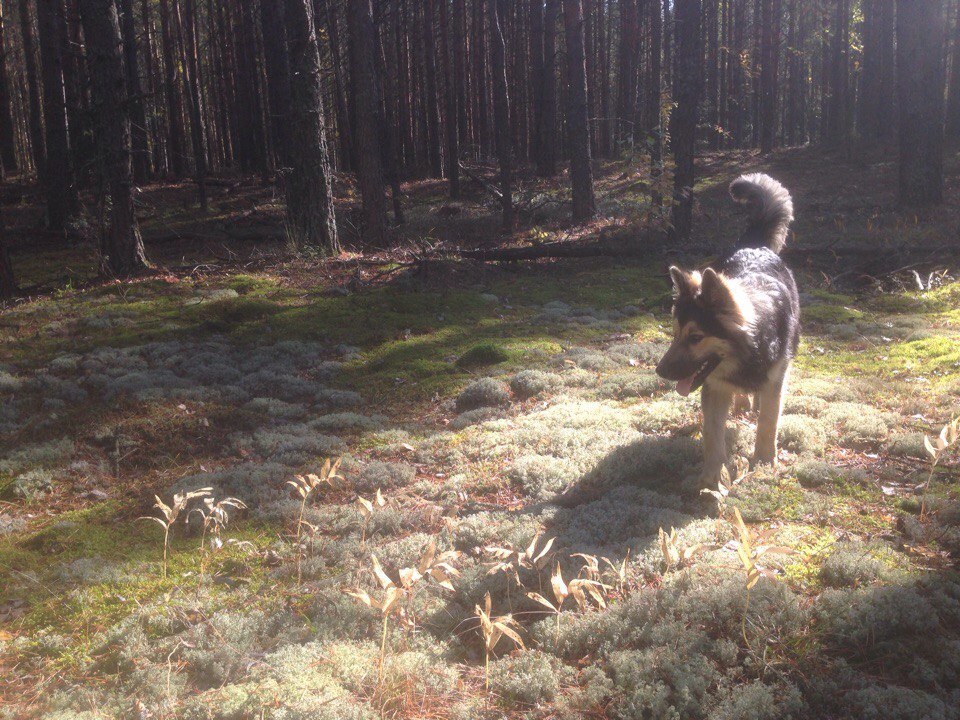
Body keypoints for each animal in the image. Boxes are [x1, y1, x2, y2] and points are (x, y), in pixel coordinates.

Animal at [652, 172, 804, 480]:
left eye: (696, 337)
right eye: (675, 335)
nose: (660, 372)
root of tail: (755, 244)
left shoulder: (776, 379)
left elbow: (769, 421)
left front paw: (764, 461)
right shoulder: (714, 387)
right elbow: (712, 434)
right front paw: (712, 477)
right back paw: (742, 404)